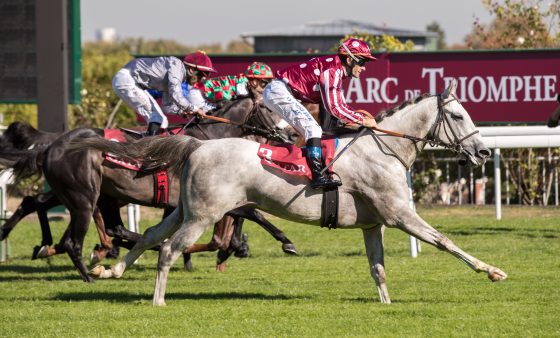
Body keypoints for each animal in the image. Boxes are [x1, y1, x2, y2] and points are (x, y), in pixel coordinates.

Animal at [75, 80, 508, 306]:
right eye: (457, 115)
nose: (483, 152)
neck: (384, 149)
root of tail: (198, 146)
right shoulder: (401, 215)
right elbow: (446, 242)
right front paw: (492, 270)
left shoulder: (373, 225)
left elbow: (378, 268)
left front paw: (386, 304)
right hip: (203, 214)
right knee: (168, 249)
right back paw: (158, 299)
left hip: (184, 210)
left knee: (149, 236)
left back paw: (109, 269)